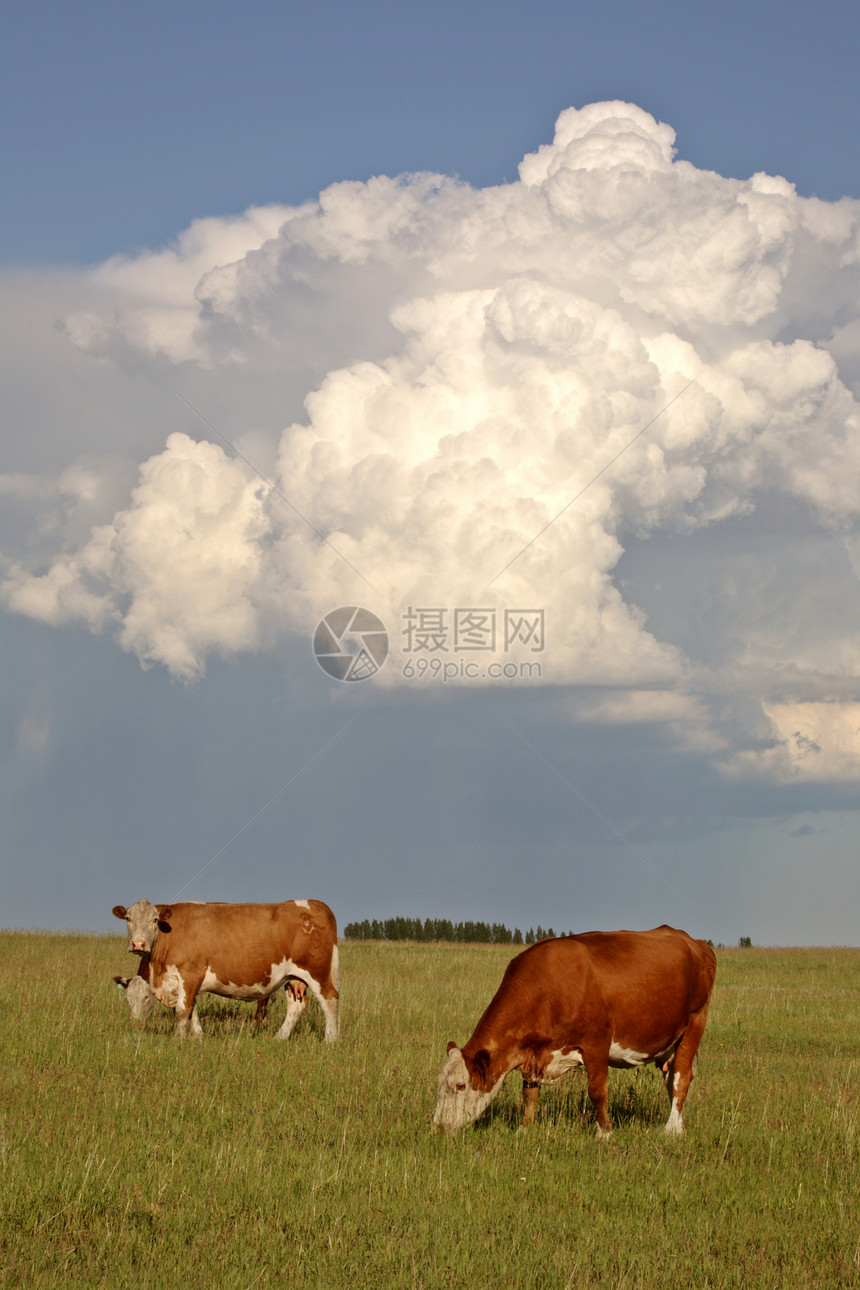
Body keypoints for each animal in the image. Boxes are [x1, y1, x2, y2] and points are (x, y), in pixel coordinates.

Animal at [113, 903, 340, 1042]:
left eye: (154, 919)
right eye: (128, 919)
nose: (138, 944)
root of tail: (315, 904)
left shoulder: (189, 974)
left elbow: (182, 1010)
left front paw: (179, 1039)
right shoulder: (187, 982)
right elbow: (192, 1009)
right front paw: (198, 1036)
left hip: (317, 973)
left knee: (330, 1000)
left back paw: (330, 1040)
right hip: (292, 978)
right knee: (296, 1006)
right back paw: (279, 1038)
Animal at [433, 928, 716, 1140]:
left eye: (460, 1085)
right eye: (440, 1082)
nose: (437, 1127)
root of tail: (695, 942)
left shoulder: (597, 1043)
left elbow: (597, 1091)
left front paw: (605, 1134)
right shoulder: (535, 1053)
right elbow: (529, 1093)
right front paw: (524, 1129)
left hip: (694, 1023)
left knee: (681, 1078)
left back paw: (671, 1129)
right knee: (672, 1080)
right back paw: (680, 1124)